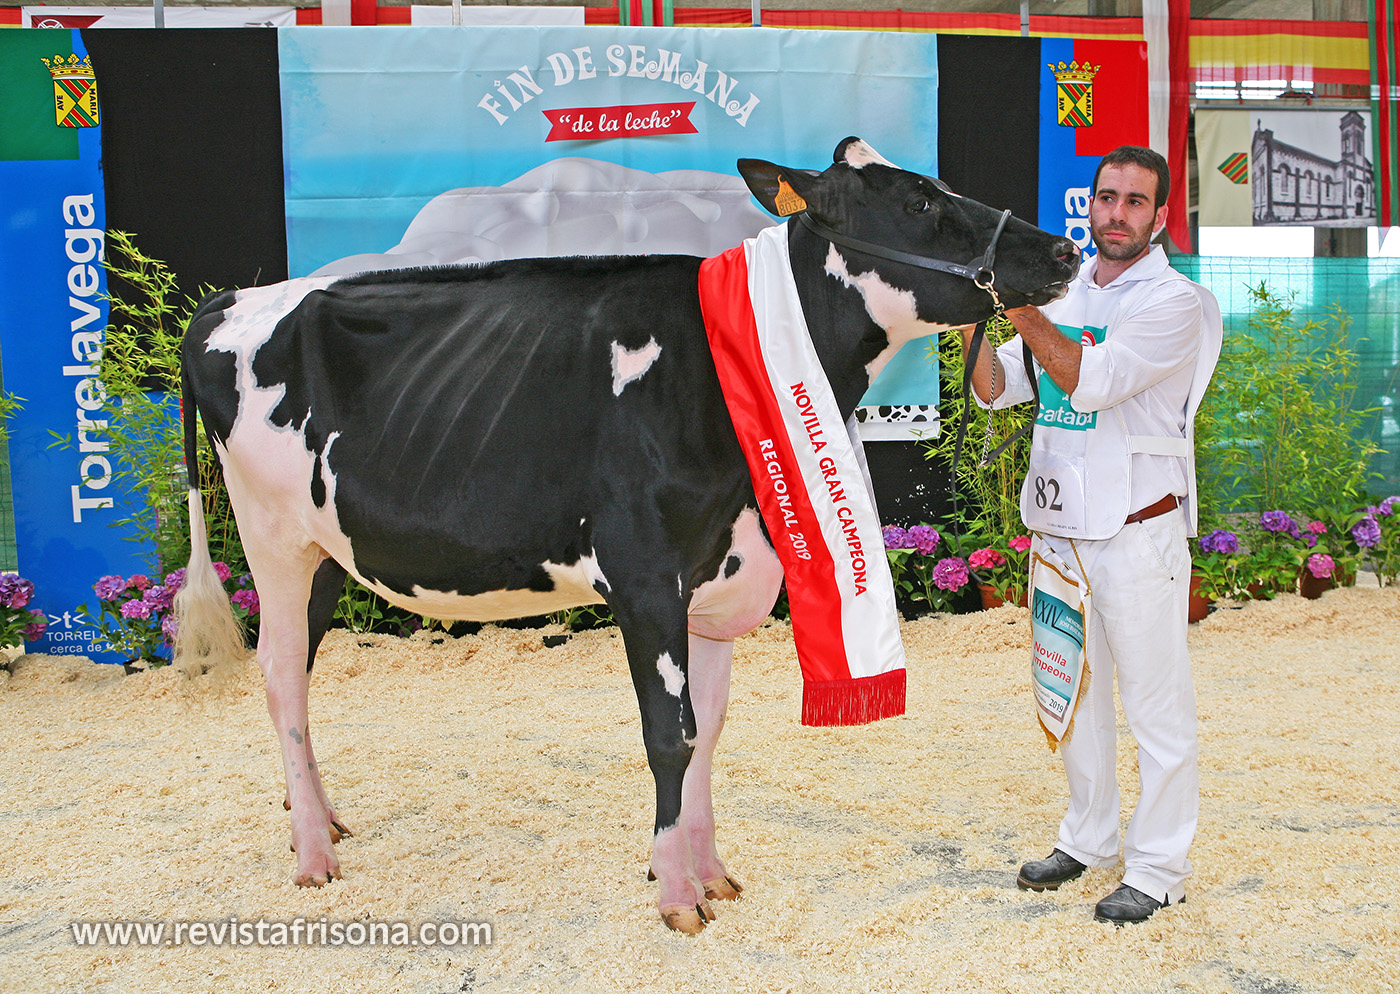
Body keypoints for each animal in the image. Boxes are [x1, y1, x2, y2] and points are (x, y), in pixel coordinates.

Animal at [175, 137, 1069, 935]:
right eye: (918, 201)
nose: (1062, 249)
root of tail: (233, 301)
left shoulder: (717, 579)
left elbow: (709, 728)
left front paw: (710, 870)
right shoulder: (645, 576)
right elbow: (670, 735)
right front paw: (677, 895)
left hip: (328, 551)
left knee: (300, 672)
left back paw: (323, 819)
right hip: (271, 537)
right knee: (280, 676)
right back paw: (312, 854)